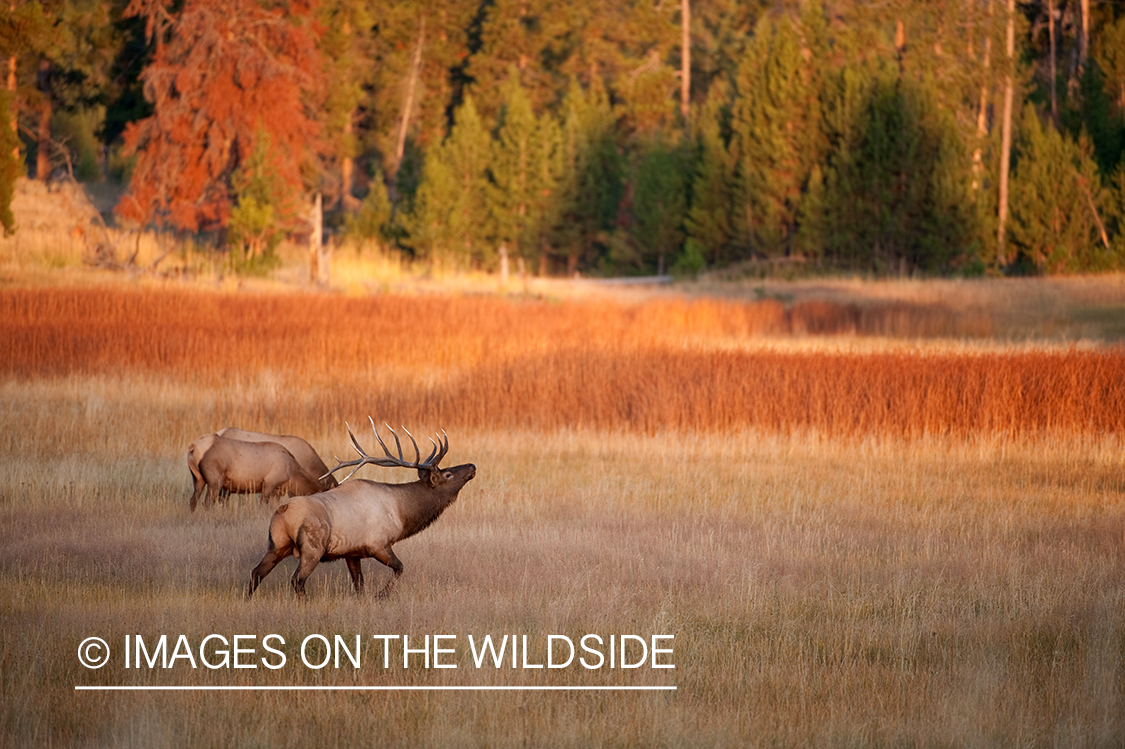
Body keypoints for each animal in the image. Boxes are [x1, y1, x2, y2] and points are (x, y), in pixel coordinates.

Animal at [186, 434, 324, 510]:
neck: (292, 474)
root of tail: (193, 447)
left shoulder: (275, 491)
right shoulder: (269, 482)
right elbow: (262, 505)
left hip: (198, 478)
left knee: (193, 500)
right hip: (215, 480)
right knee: (207, 503)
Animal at [246, 416, 474, 598]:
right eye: (448, 474)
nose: (472, 466)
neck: (402, 513)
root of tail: (283, 513)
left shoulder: (352, 552)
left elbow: (359, 584)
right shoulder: (378, 543)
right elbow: (399, 568)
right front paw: (381, 595)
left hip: (276, 544)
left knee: (256, 573)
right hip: (312, 547)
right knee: (297, 580)